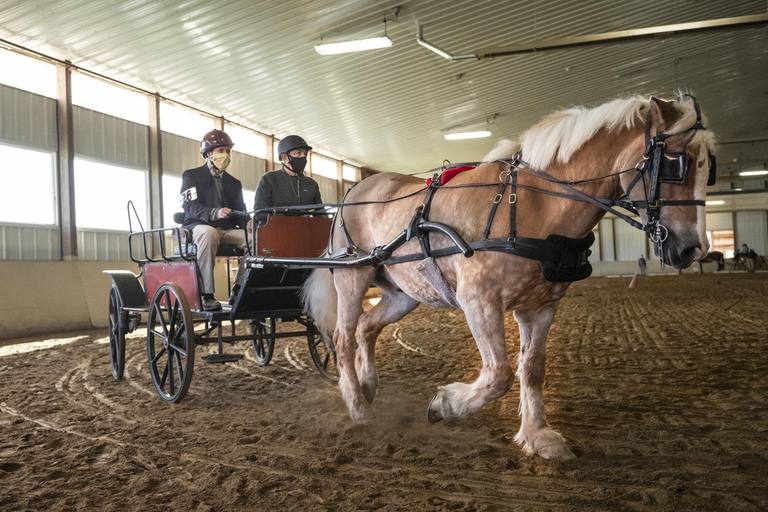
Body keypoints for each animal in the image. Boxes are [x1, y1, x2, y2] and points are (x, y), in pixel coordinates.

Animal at [304, 93, 716, 460]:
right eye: (677, 162)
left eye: (708, 167)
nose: (694, 250)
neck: (536, 204)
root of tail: (355, 188)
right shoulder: (479, 301)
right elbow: (498, 374)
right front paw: (444, 404)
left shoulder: (541, 307)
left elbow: (531, 370)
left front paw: (538, 436)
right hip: (353, 277)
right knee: (342, 338)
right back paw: (358, 408)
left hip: (403, 293)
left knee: (366, 328)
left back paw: (367, 386)